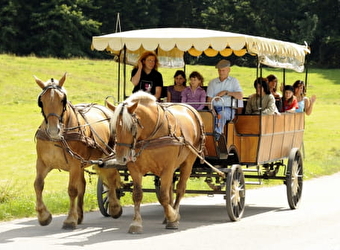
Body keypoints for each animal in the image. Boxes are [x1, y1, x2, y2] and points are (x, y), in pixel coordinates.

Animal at [33, 73, 123, 229]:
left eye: (62, 100)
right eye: (41, 101)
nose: (53, 130)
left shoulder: (74, 164)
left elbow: (72, 190)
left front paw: (70, 219)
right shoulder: (42, 163)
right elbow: (38, 185)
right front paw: (44, 216)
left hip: (107, 156)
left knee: (111, 178)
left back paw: (114, 208)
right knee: (85, 184)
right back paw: (80, 215)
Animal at [107, 91, 206, 233]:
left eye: (131, 127)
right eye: (113, 126)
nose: (121, 158)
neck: (151, 135)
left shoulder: (167, 168)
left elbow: (164, 196)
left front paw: (173, 217)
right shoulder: (134, 169)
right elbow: (137, 194)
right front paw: (136, 223)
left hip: (188, 161)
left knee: (180, 188)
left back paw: (174, 214)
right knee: (170, 189)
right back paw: (167, 215)